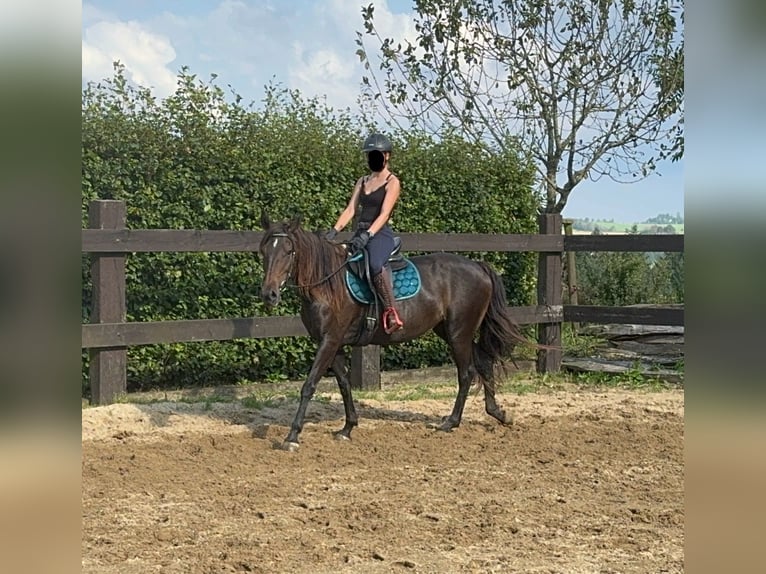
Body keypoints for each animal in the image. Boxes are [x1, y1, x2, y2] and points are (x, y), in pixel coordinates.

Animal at [258, 214, 528, 452]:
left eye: (289, 251)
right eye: (264, 252)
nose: (269, 294)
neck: (327, 285)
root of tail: (478, 267)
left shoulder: (329, 341)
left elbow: (309, 385)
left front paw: (292, 436)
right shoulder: (332, 343)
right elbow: (344, 383)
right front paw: (348, 428)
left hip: (458, 332)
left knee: (466, 373)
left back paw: (450, 422)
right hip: (452, 331)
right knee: (483, 363)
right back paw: (498, 413)